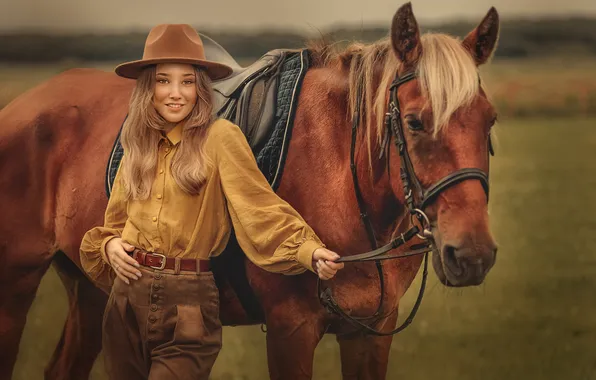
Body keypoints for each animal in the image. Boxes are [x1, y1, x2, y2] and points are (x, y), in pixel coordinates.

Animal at [0, 3, 500, 380]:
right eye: (414, 121)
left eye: (489, 120)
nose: (472, 254)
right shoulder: (290, 330)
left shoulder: (372, 330)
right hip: (16, 285)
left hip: (91, 288)